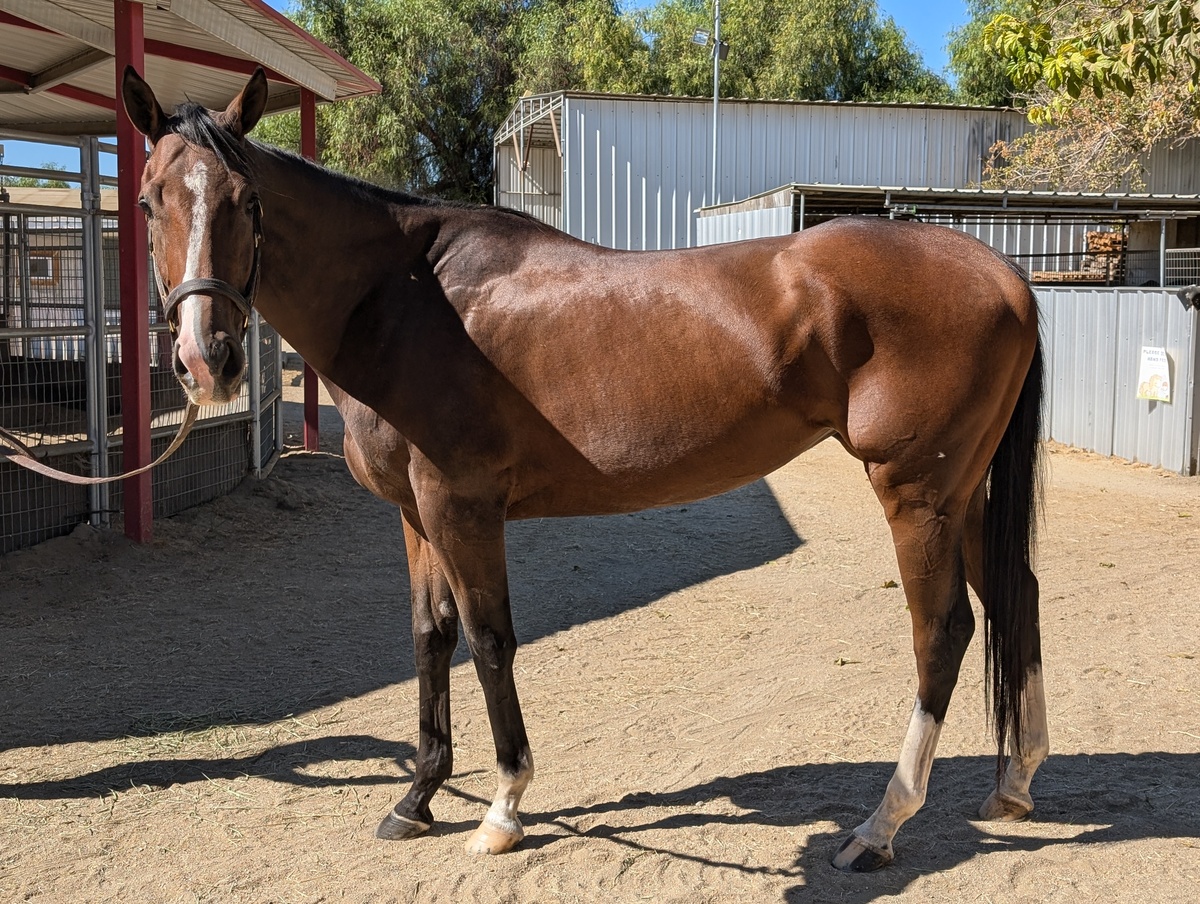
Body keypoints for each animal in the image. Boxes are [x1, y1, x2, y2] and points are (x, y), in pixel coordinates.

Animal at [120, 67, 1047, 872]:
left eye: (248, 202)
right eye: (148, 200)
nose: (206, 360)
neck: (408, 296)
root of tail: (1004, 274)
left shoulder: (461, 507)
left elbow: (490, 640)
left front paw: (502, 809)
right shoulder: (414, 514)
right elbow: (430, 636)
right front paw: (416, 797)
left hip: (915, 495)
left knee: (943, 631)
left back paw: (879, 826)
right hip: (961, 496)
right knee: (1015, 597)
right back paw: (1015, 782)